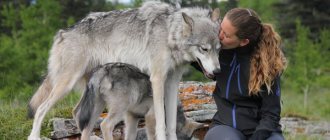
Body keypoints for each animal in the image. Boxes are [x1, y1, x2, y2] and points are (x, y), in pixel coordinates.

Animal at [74, 63, 204, 139]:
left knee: (86, 129)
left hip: (97, 109)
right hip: (118, 110)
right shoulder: (150, 117)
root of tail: (102, 70)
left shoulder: (132, 117)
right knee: (105, 125)